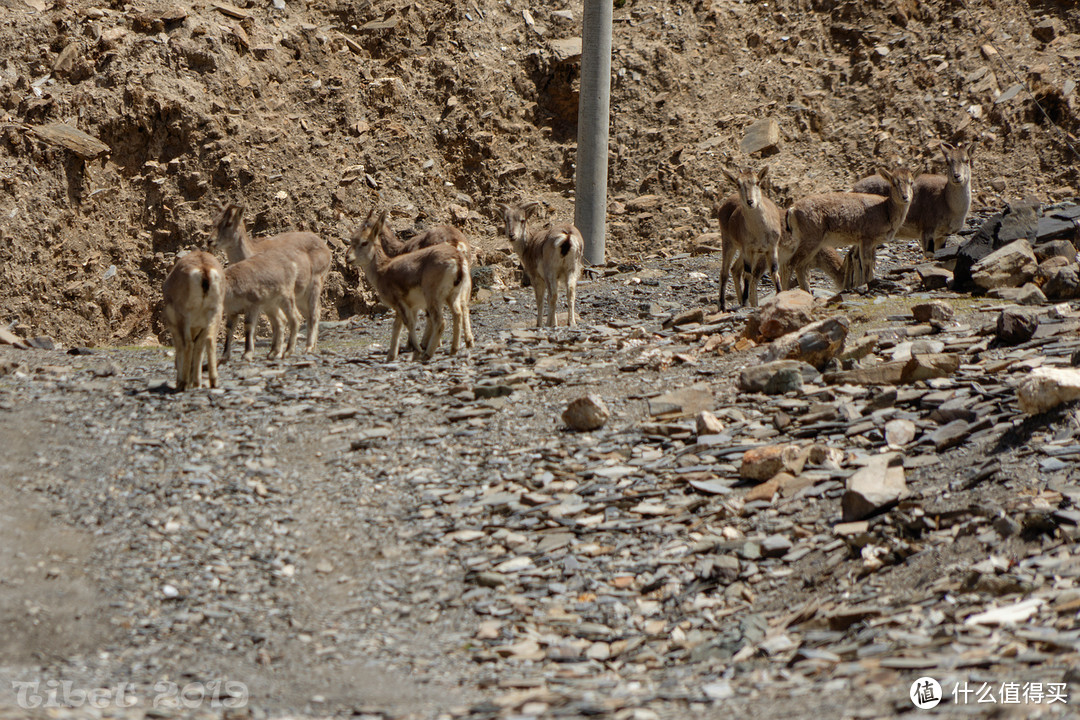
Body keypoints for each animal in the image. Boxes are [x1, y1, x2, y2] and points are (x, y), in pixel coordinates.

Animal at [160, 250, 224, 390]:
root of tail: (204, 268)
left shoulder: (175, 327)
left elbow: (181, 348)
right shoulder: (202, 328)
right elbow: (199, 351)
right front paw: (197, 383)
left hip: (185, 318)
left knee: (187, 344)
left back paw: (183, 383)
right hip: (215, 314)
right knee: (210, 341)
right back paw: (213, 381)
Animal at [208, 205, 330, 354]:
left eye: (229, 223)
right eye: (214, 221)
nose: (210, 241)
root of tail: (326, 249)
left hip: (316, 283)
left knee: (314, 312)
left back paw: (308, 347)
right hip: (300, 295)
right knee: (308, 313)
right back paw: (312, 346)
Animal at [347, 211, 470, 362]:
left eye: (364, 242)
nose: (348, 258)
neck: (382, 269)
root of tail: (457, 258)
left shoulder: (402, 303)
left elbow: (409, 324)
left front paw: (415, 350)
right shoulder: (404, 306)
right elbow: (397, 326)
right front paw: (391, 356)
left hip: (432, 296)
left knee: (440, 321)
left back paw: (427, 353)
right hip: (453, 294)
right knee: (459, 312)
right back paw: (455, 348)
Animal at [781, 167, 915, 291]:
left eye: (911, 182)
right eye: (894, 182)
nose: (905, 197)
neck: (885, 210)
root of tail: (791, 210)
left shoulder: (873, 242)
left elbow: (871, 262)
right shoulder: (866, 238)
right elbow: (866, 262)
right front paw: (867, 284)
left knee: (801, 267)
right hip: (810, 240)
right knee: (790, 264)